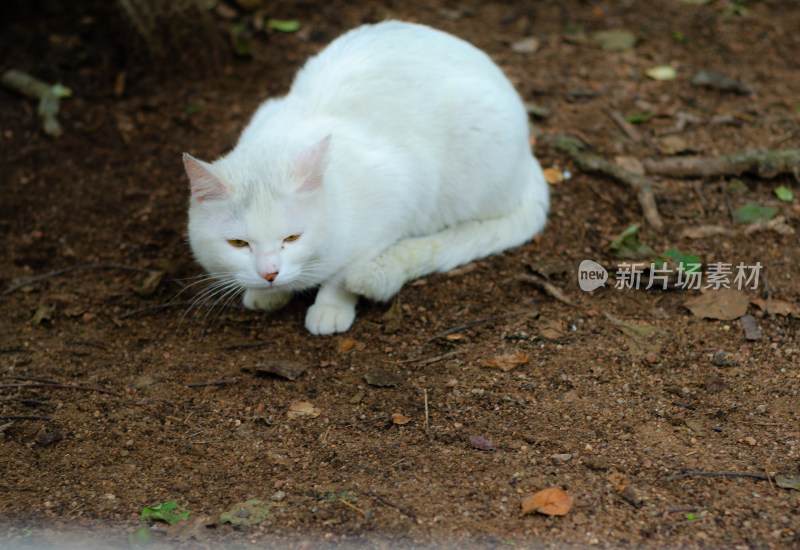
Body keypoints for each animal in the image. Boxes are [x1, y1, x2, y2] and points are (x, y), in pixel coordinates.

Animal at [186, 20, 552, 336]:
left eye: (291, 238)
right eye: (238, 243)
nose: (269, 273)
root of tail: (529, 157)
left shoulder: (402, 197)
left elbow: (345, 270)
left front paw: (331, 306)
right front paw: (268, 293)